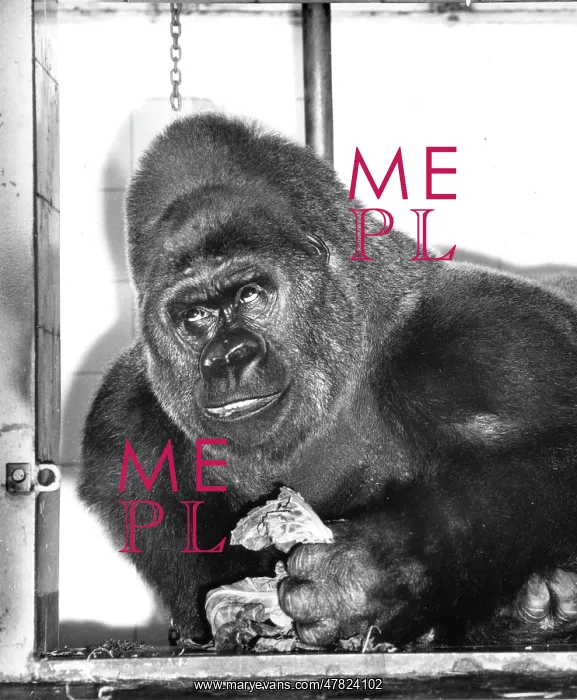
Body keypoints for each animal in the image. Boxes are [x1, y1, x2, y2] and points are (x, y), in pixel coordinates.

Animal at [79, 113, 577, 647]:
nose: (228, 357)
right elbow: (201, 606)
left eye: (250, 293)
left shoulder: (494, 342)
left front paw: (371, 574)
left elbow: (556, 461)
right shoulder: (121, 424)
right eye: (195, 316)